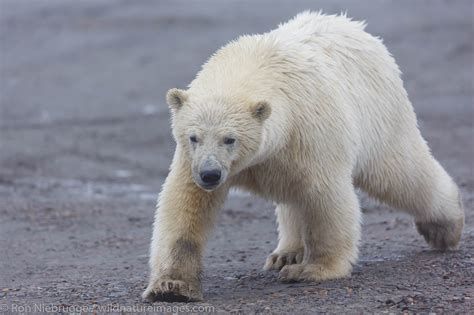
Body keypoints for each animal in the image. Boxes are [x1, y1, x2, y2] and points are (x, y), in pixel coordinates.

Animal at [143, 11, 464, 302]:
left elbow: (326, 197)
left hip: (381, 115)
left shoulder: (309, 132)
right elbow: (185, 205)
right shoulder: (193, 161)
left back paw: (444, 227)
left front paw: (313, 270)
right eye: (193, 137)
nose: (210, 175)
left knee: (401, 173)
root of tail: (358, 28)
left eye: (229, 139)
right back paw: (286, 253)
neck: (255, 66)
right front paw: (171, 287)